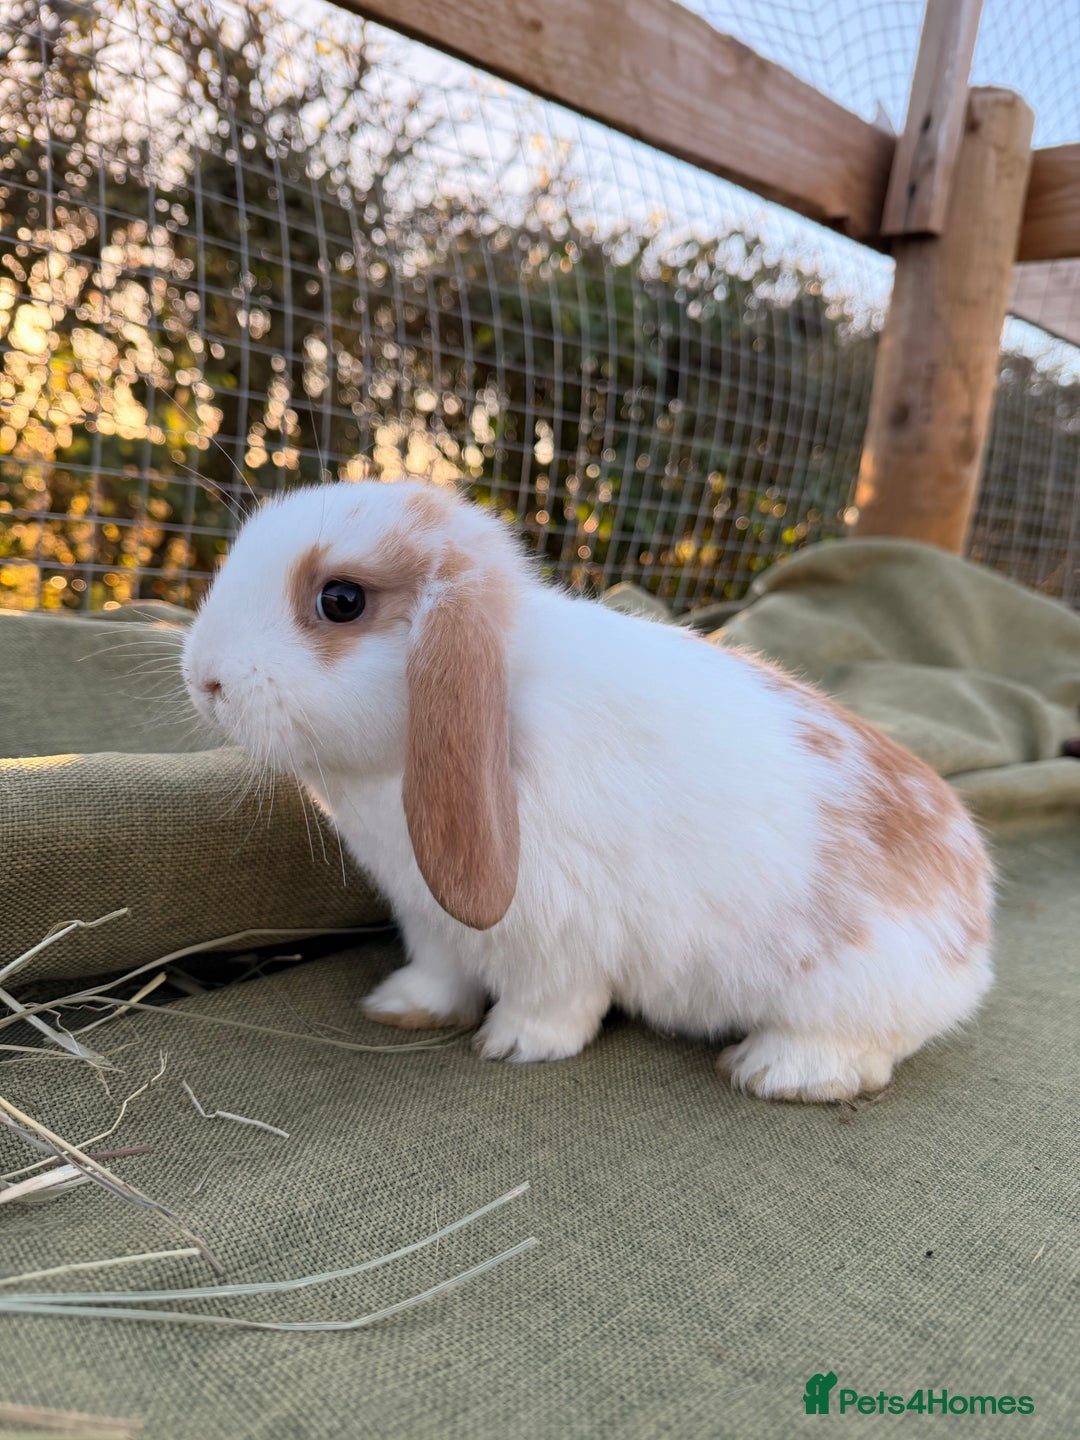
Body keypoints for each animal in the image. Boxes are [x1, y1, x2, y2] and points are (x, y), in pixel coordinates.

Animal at [182, 478, 993, 1102]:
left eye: (342, 600)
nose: (204, 678)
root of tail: (977, 923)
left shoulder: (559, 933)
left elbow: (553, 1001)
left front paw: (513, 1046)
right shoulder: (430, 918)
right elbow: (440, 973)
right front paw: (400, 1009)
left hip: (854, 986)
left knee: (864, 1044)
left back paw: (777, 1072)